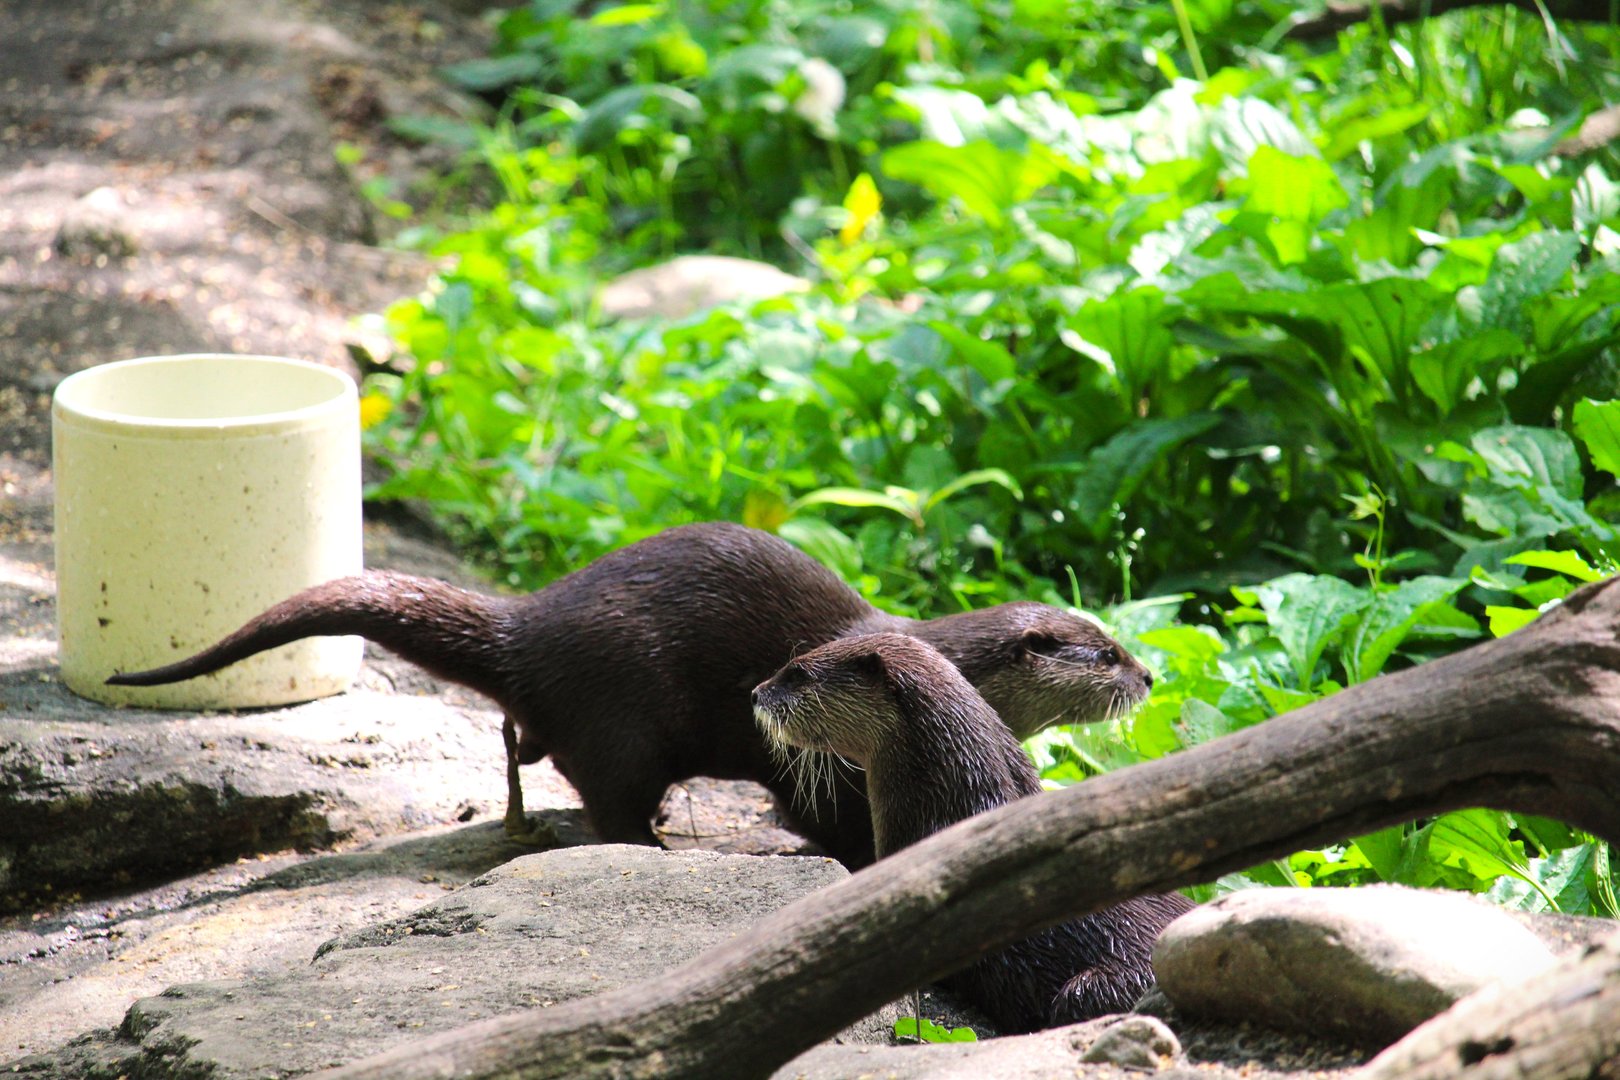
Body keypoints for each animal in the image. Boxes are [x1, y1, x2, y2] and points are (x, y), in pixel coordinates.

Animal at [108, 522, 1152, 866]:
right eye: (1103, 653)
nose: (1150, 673)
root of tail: (529, 624)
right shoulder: (816, 760)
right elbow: (826, 822)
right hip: (625, 714)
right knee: (607, 800)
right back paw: (647, 844)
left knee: (524, 744)